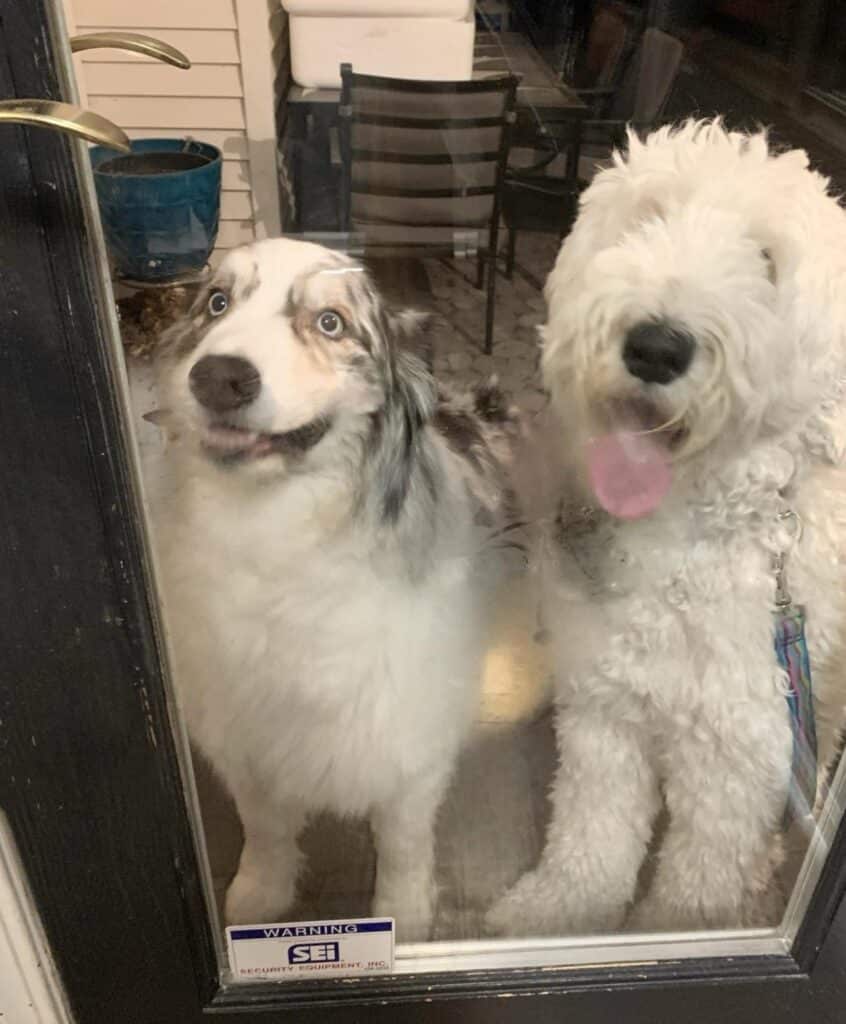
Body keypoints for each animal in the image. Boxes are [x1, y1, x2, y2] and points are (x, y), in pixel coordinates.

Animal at [485, 119, 843, 937]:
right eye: (647, 219)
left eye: (767, 261)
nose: (655, 345)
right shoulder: (605, 703)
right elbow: (592, 828)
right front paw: (560, 912)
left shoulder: (737, 756)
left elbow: (699, 881)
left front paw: (681, 925)